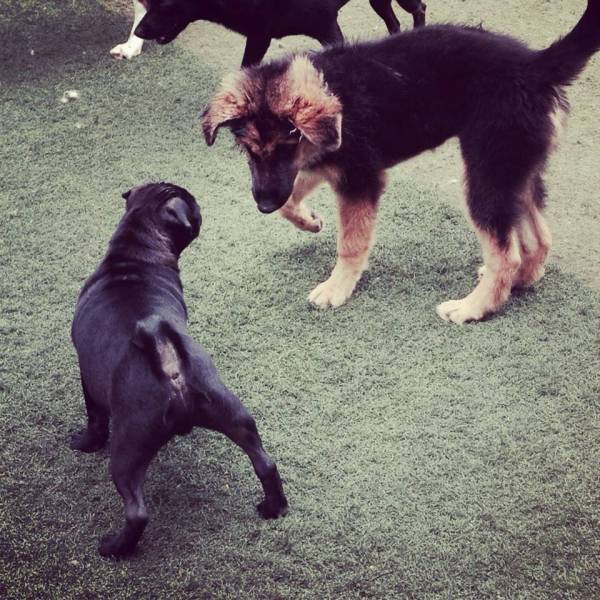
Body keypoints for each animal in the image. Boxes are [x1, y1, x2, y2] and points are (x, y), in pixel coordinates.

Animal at [70, 182, 286, 556]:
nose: (201, 206)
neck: (135, 251)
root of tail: (166, 356)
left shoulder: (87, 379)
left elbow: (94, 420)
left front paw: (84, 444)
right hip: (234, 414)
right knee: (266, 463)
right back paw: (273, 507)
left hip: (127, 450)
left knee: (137, 511)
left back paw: (115, 548)